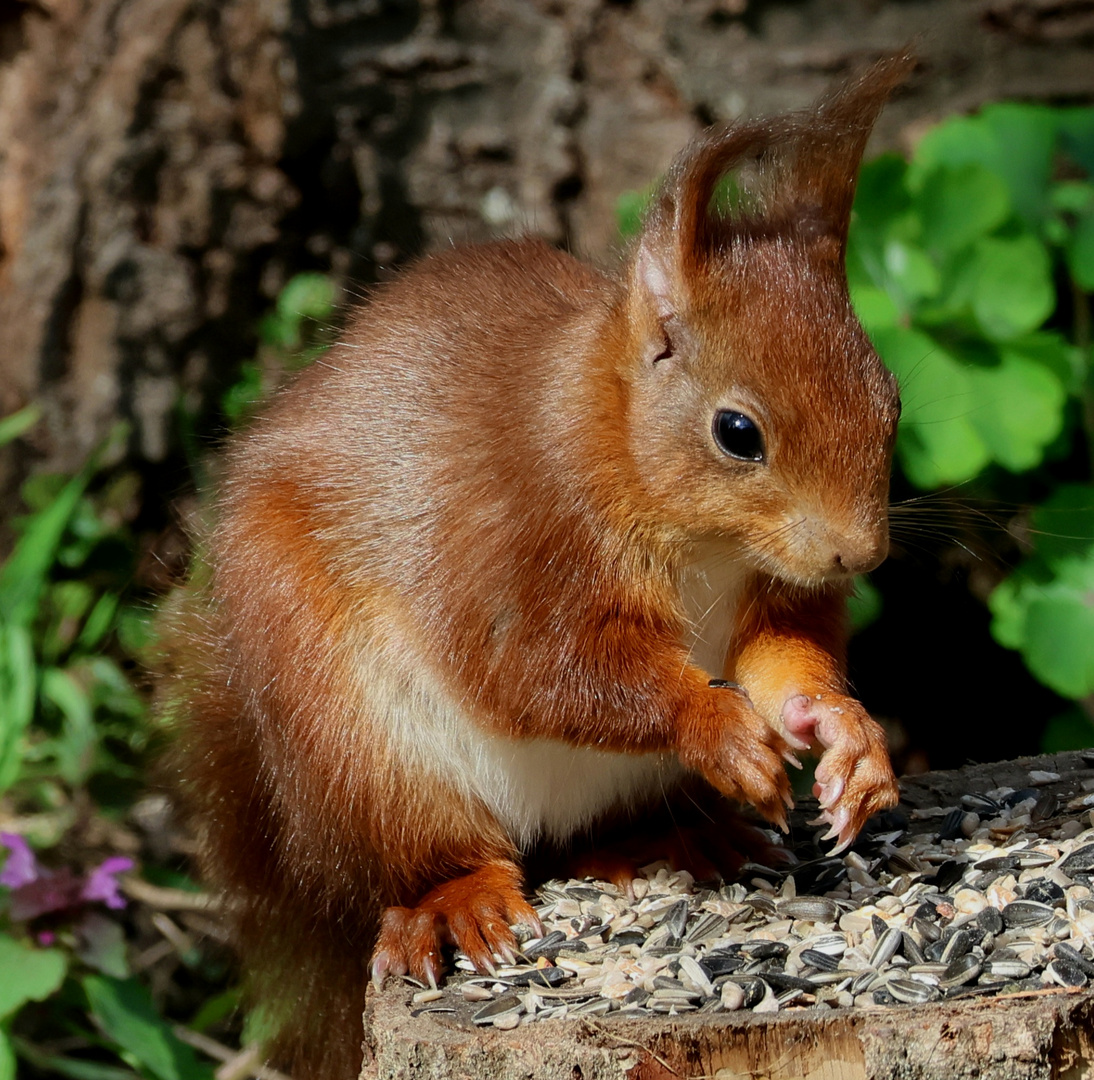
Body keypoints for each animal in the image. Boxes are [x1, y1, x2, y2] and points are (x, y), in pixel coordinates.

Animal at [164, 52, 905, 1080]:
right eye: (737, 432)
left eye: (891, 401)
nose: (858, 554)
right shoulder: (511, 540)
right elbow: (538, 670)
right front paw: (716, 722)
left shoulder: (769, 588)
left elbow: (781, 660)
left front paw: (847, 735)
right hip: (353, 747)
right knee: (426, 853)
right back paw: (455, 903)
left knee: (599, 835)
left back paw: (683, 839)